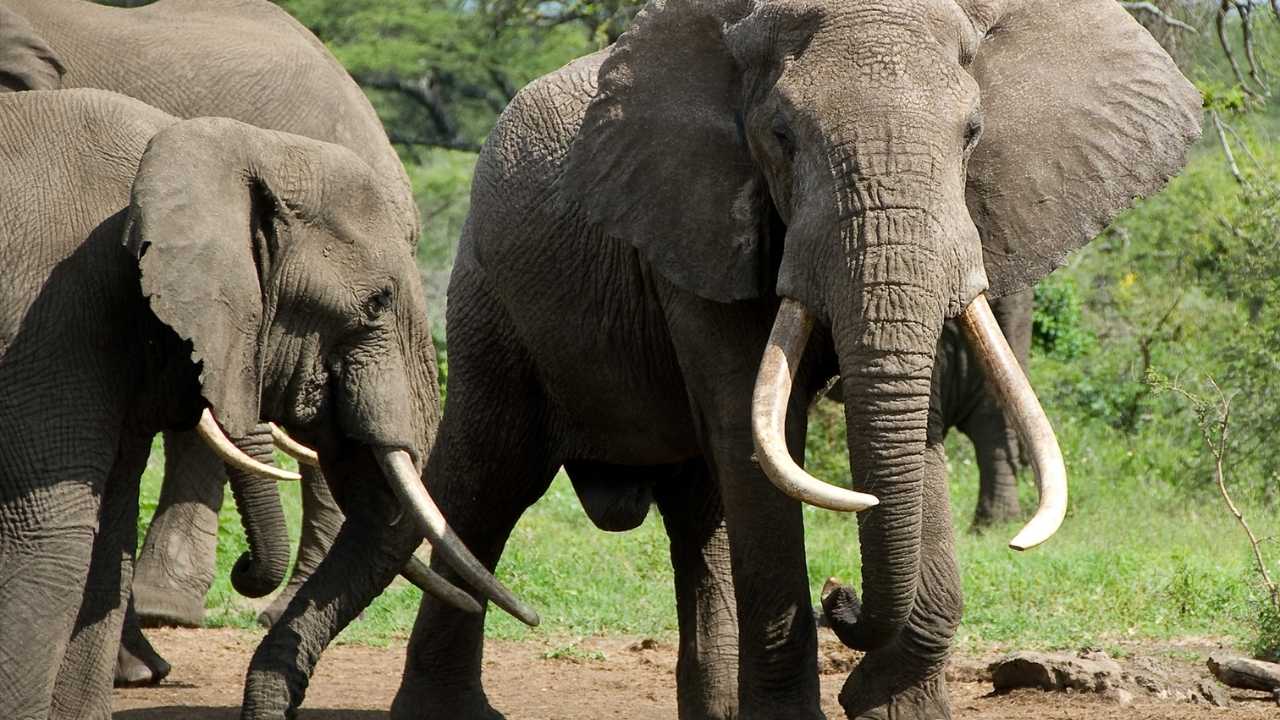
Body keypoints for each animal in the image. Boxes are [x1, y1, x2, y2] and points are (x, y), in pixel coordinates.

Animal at [373, 1, 1200, 719]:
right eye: (781, 137)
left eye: (972, 134)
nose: (842, 597)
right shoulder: (697, 223)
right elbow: (755, 443)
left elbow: (915, 429)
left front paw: (889, 702)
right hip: (491, 298)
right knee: (486, 484)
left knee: (698, 525)